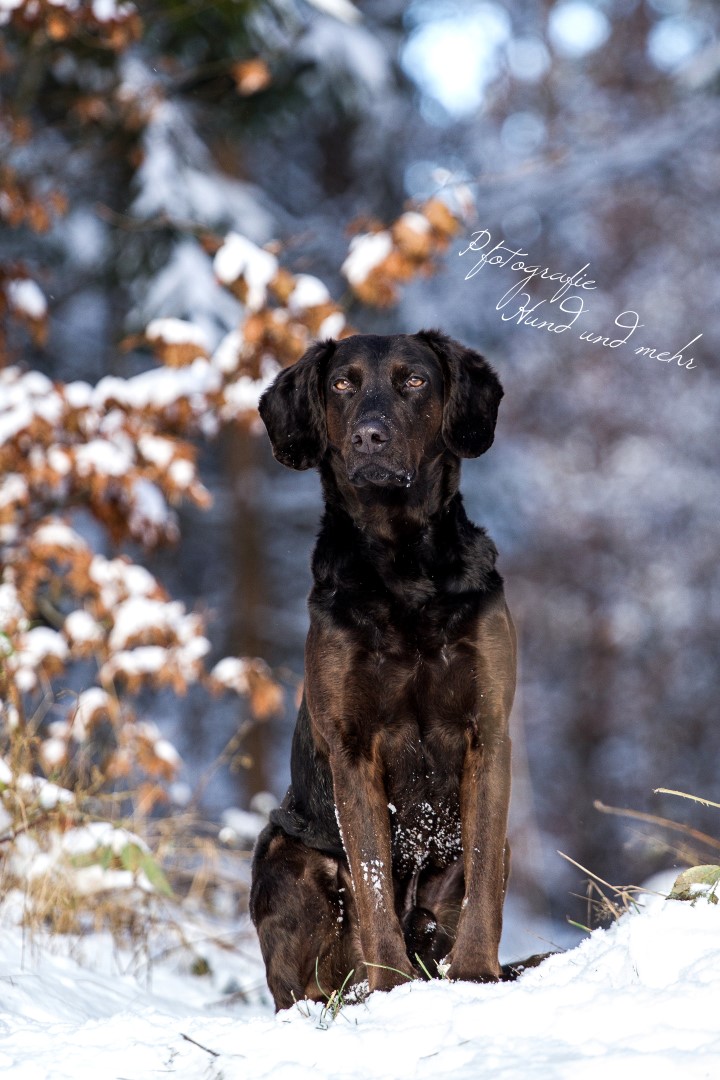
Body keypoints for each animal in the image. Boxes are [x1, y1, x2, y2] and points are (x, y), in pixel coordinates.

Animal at [250, 330, 515, 1010]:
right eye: (342, 383)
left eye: (415, 380)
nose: (370, 436)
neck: (403, 567)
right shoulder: (353, 747)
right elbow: (371, 886)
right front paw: (392, 986)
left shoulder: (488, 730)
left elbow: (481, 874)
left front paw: (477, 973)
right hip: (282, 854)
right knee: (303, 988)